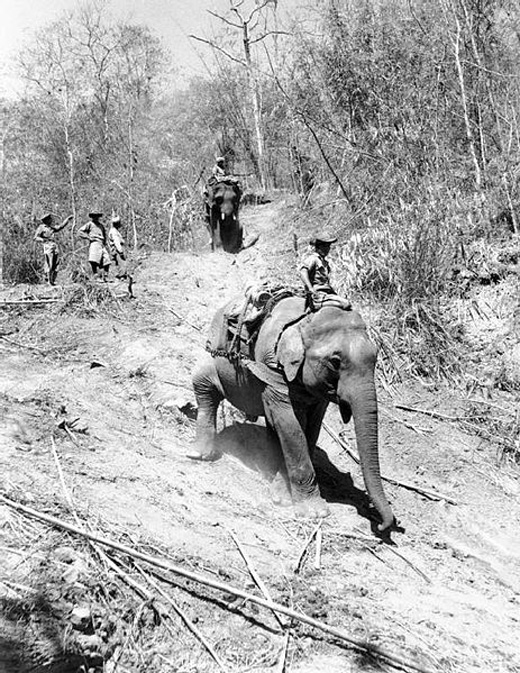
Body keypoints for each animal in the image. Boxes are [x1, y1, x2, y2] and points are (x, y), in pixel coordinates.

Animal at [192, 294, 398, 532]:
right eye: (335, 362)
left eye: (375, 358)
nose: (383, 526)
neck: (304, 323)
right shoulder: (273, 369)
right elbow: (291, 427)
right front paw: (314, 512)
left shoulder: (316, 394)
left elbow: (309, 431)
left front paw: (282, 496)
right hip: (214, 352)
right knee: (204, 385)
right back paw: (200, 454)